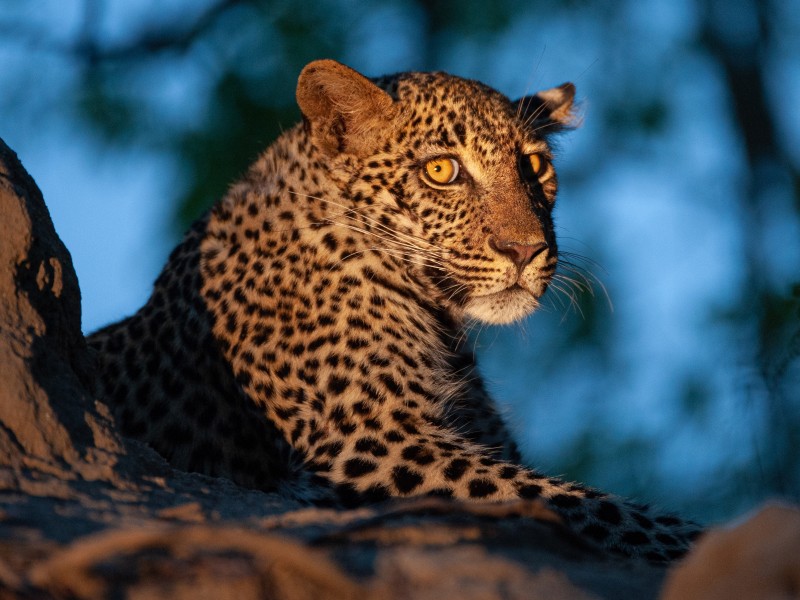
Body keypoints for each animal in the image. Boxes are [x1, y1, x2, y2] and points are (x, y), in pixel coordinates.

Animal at [88, 59, 701, 562]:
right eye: (441, 170)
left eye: (534, 166)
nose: (526, 250)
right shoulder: (371, 441)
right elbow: (588, 505)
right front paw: (695, 539)